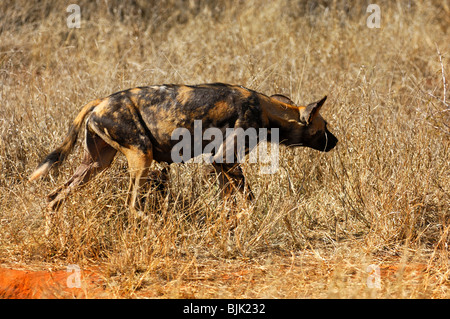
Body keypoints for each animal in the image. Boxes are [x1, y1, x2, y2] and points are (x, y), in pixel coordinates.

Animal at [29, 84, 338, 211]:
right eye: (324, 127)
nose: (336, 141)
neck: (266, 109)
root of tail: (100, 101)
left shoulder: (220, 164)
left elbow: (227, 201)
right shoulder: (225, 160)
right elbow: (248, 198)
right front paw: (253, 218)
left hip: (95, 164)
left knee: (53, 199)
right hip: (141, 157)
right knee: (131, 205)